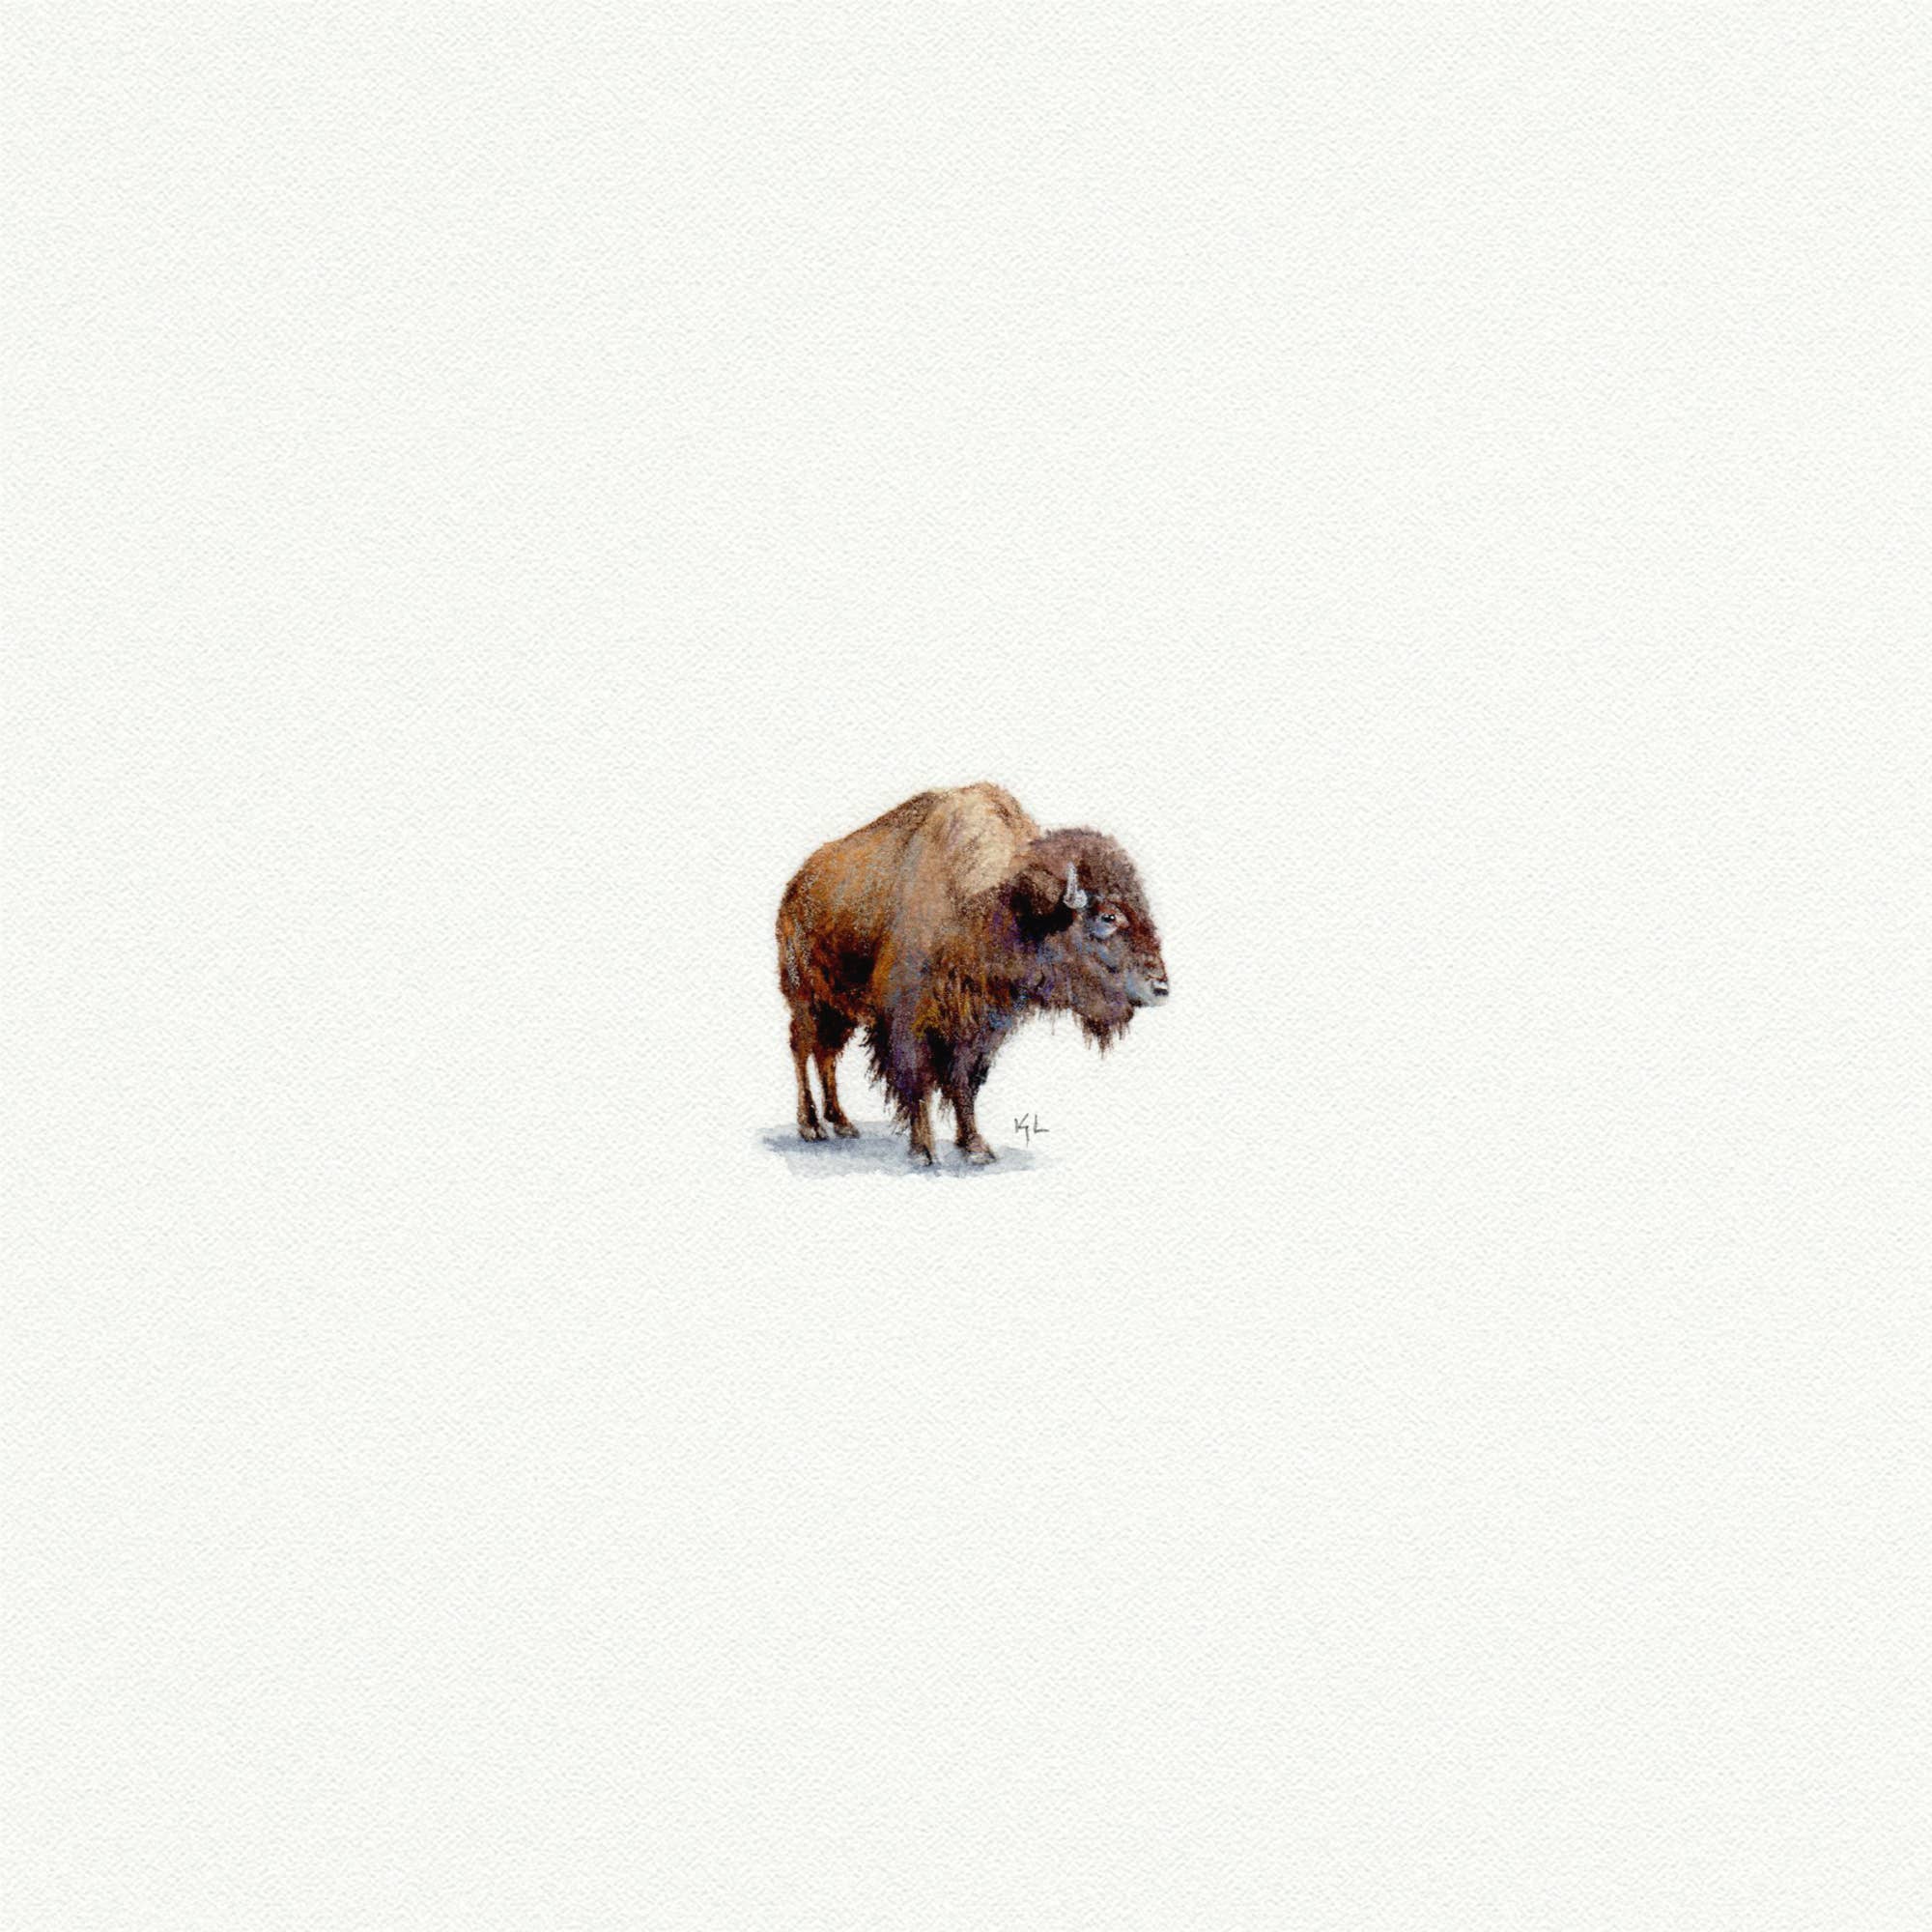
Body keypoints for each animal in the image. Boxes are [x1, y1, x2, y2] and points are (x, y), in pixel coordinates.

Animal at [776, 783, 1169, 1163]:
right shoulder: (907, 1021)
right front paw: (924, 1152)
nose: (1160, 987)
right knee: (802, 1048)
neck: (992, 907)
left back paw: (842, 1123)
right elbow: (916, 1080)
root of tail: (796, 887)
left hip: (839, 1008)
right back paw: (812, 1126)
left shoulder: (979, 1028)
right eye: (1108, 916)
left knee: (827, 1054)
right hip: (805, 997)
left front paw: (976, 1147)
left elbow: (964, 1081)